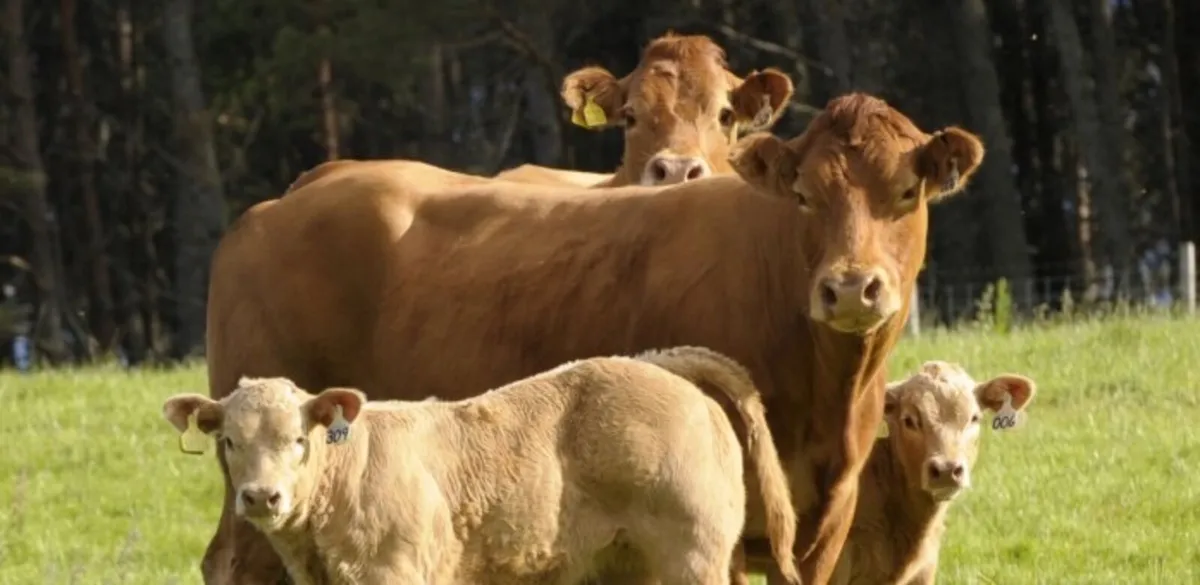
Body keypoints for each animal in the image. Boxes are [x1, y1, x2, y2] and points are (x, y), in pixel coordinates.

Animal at [164, 346, 801, 585]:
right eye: (228, 441)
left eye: (299, 438)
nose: (261, 497)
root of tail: (661, 363)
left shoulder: (396, 573)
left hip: (691, 556)